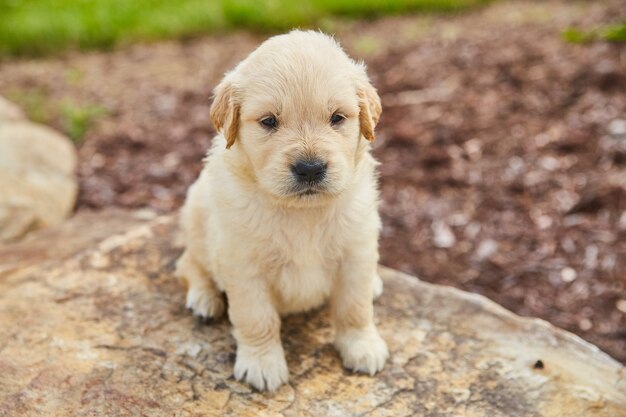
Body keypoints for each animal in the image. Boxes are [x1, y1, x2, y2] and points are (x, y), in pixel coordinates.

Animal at [176, 30, 386, 390]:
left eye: (337, 118)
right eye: (269, 121)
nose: (310, 168)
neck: (303, 212)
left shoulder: (356, 252)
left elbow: (354, 308)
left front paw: (362, 346)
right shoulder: (243, 265)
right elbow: (256, 317)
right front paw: (262, 363)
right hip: (195, 215)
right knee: (189, 263)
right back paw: (204, 298)